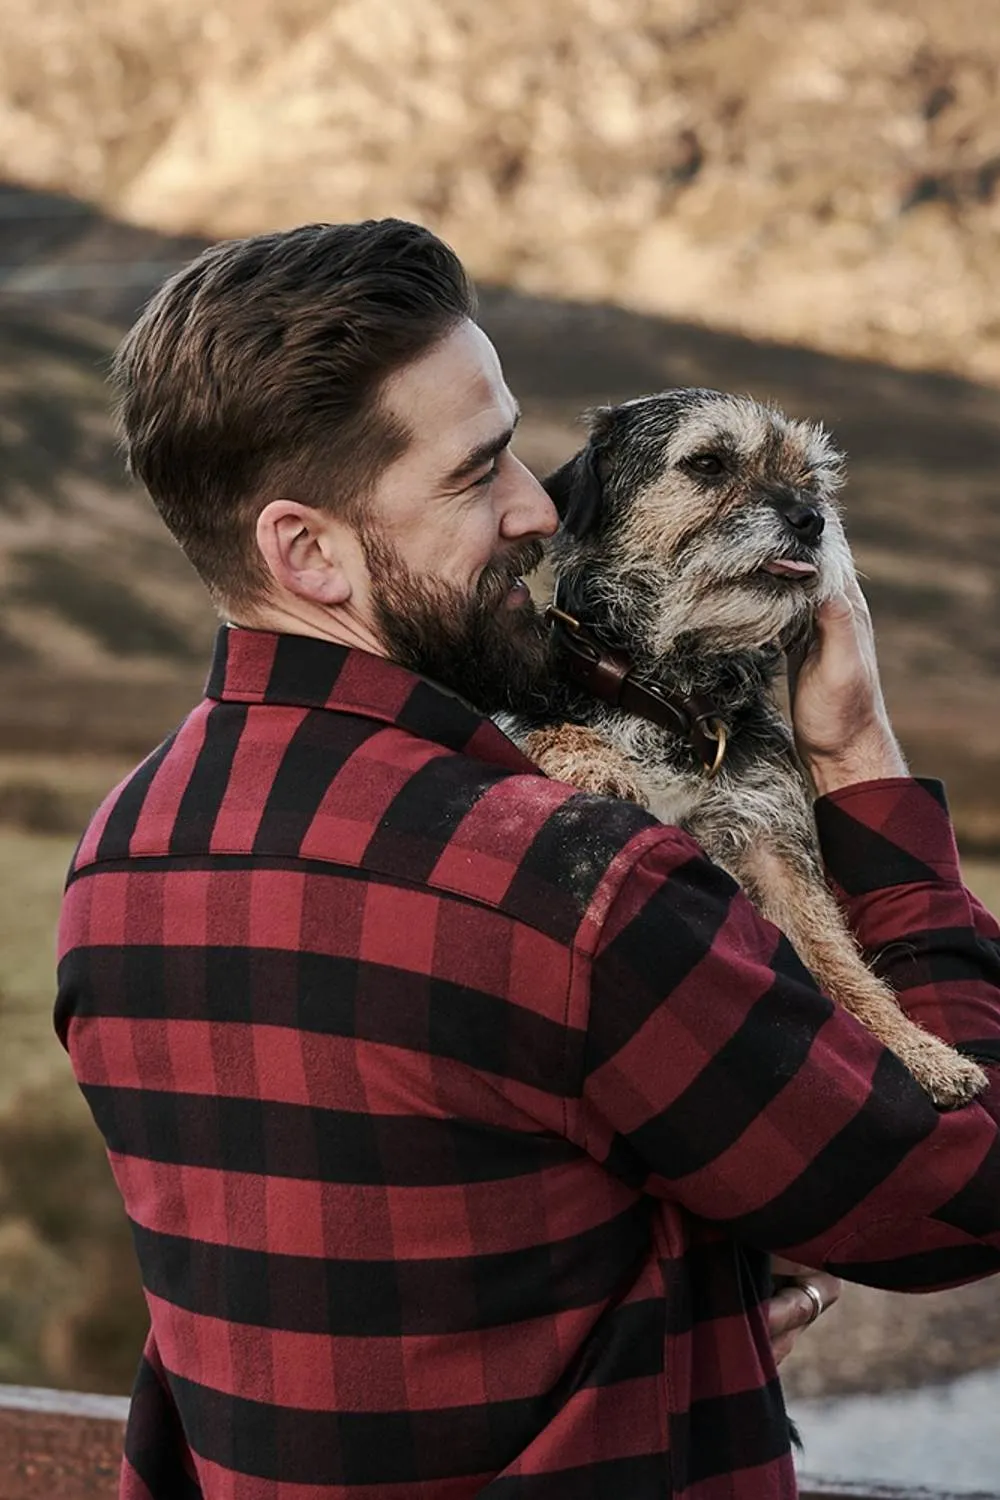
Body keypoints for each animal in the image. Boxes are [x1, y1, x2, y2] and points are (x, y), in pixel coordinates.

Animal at [512, 393, 989, 1110]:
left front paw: (921, 1052)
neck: (676, 695)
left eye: (811, 478)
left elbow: (840, 964)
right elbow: (542, 726)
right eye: (708, 463)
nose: (812, 519)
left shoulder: (771, 848)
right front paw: (594, 761)